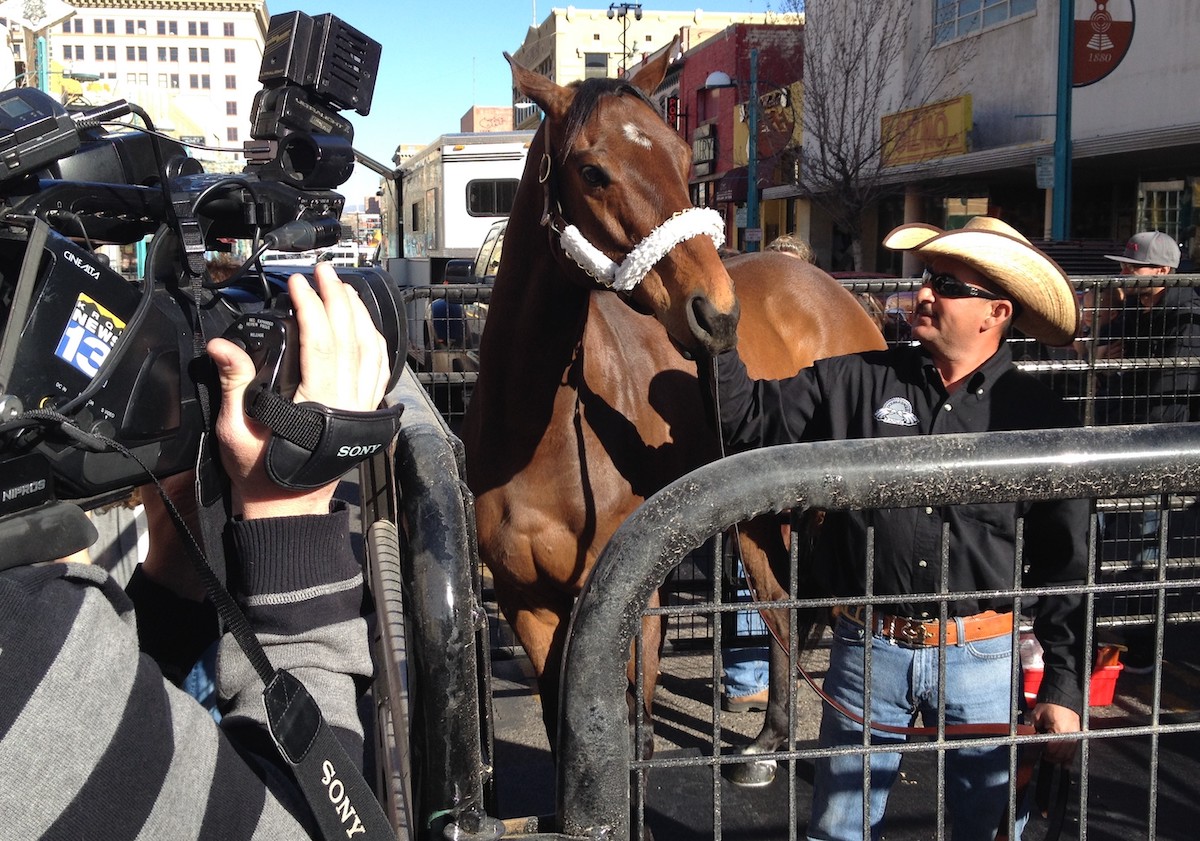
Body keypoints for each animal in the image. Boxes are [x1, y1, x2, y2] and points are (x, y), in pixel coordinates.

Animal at [463, 47, 888, 782]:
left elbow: (633, 742)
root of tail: (841, 296)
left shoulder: (631, 607)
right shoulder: (527, 605)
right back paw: (768, 743)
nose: (716, 313)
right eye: (592, 169)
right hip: (757, 516)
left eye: (683, 156)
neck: (535, 439)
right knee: (782, 608)